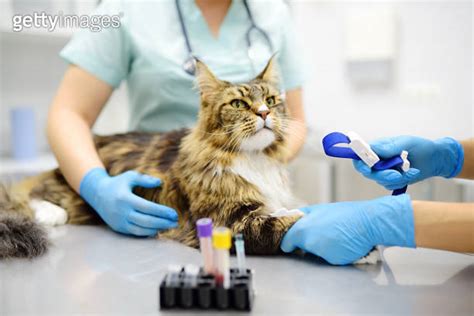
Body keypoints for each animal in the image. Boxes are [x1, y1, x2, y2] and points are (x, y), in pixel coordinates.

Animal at [0, 56, 304, 260]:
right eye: (239, 104)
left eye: (272, 100)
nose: (264, 113)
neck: (254, 159)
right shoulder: (227, 222)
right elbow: (281, 223)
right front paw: (303, 220)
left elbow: (280, 210)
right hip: (68, 194)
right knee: (29, 194)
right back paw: (50, 212)